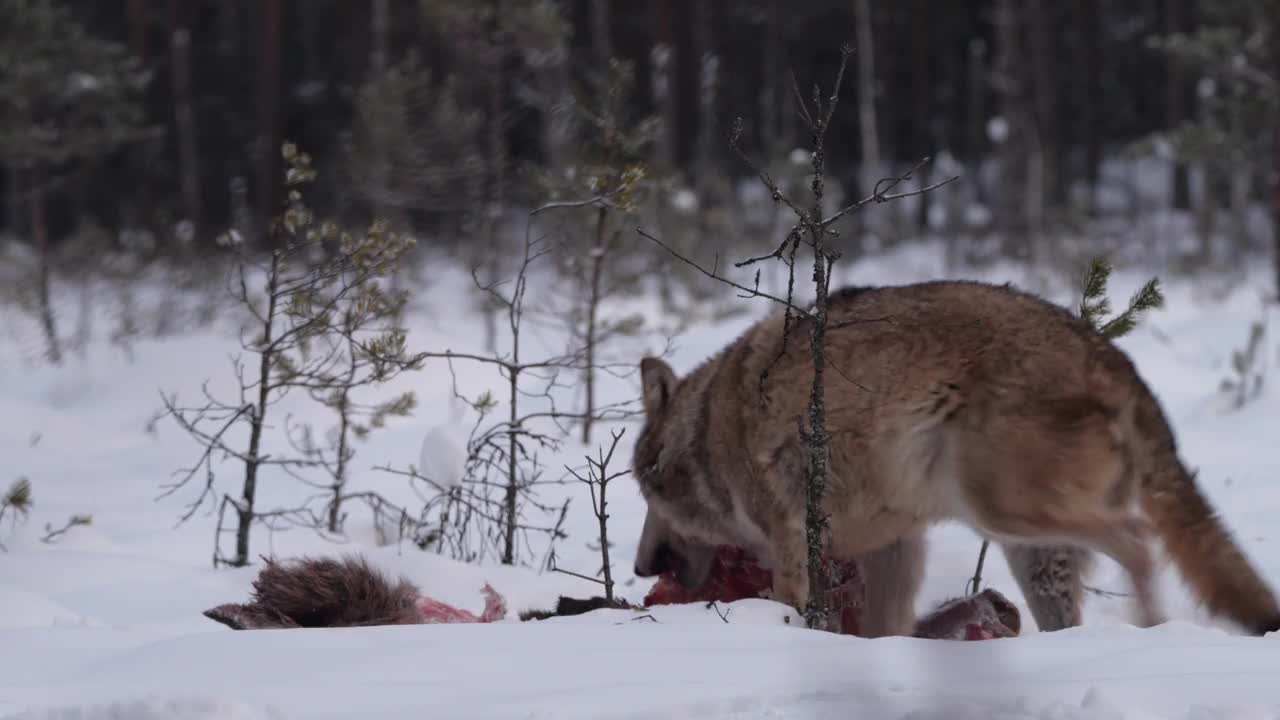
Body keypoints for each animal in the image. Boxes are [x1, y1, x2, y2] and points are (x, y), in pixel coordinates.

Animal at [629, 279, 1280, 632]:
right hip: (1026, 548)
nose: (639, 567)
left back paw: (1149, 631)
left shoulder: (795, 545)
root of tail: (1109, 355)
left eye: (644, 492)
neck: (708, 429)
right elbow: (884, 632)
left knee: (1140, 542)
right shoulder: (895, 545)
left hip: (998, 509)